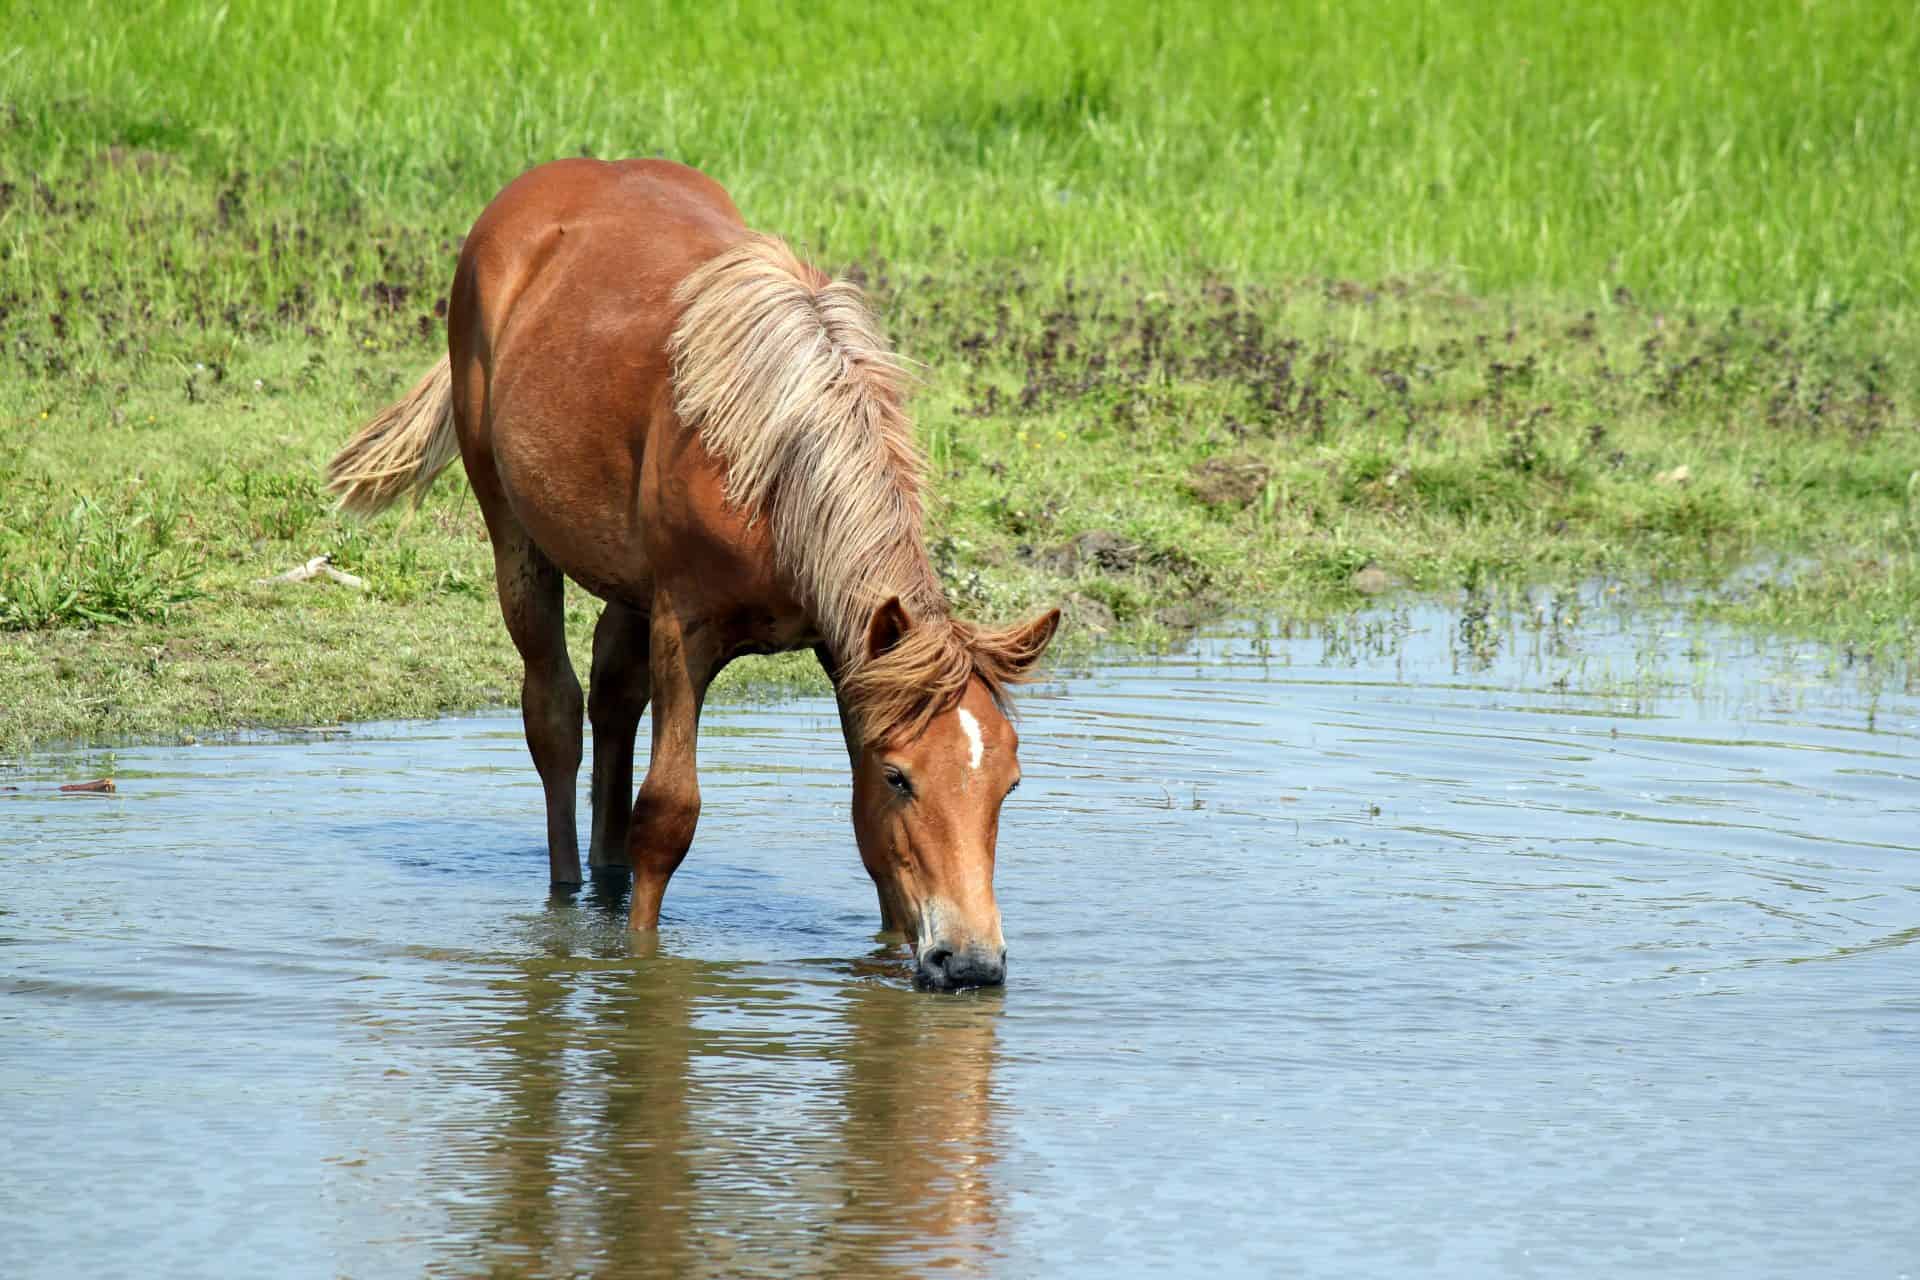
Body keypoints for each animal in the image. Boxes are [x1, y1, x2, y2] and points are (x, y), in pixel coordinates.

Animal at [322, 160, 1059, 990]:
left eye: (1009, 782)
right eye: (902, 777)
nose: (971, 962)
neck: (774, 466)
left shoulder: (847, 650)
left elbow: (866, 840)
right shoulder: (687, 629)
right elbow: (668, 813)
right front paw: (639, 968)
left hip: (627, 587)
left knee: (612, 699)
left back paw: (603, 878)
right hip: (514, 534)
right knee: (554, 716)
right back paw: (567, 894)